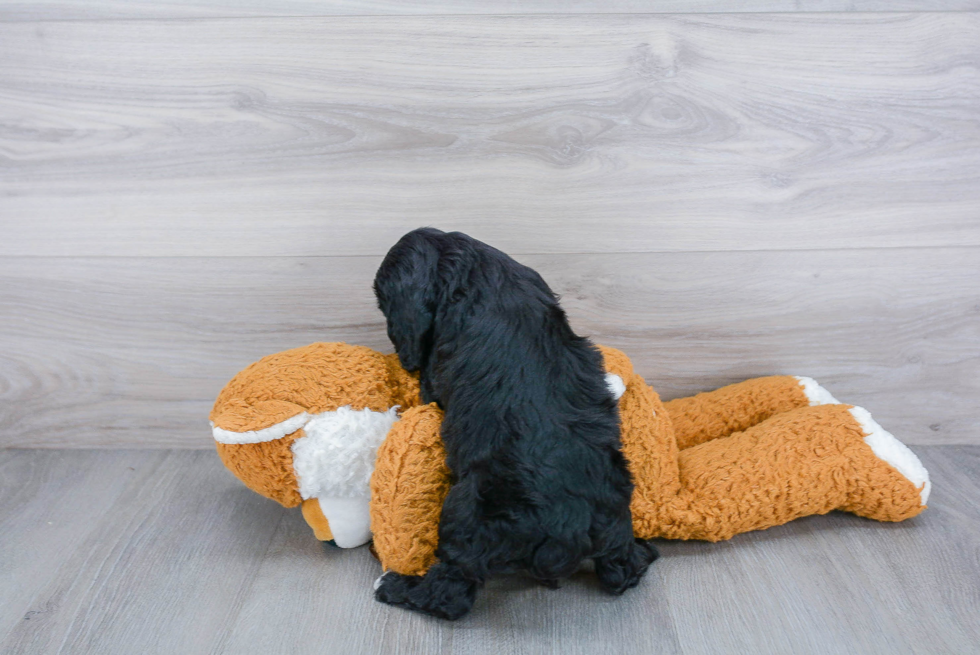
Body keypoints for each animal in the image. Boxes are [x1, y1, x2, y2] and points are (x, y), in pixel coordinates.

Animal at [372, 229, 656, 620]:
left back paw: (395, 586)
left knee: (451, 593)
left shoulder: (434, 374)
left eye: (383, 300)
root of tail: (570, 525)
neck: (467, 265)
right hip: (614, 518)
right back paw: (641, 554)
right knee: (622, 569)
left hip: (466, 514)